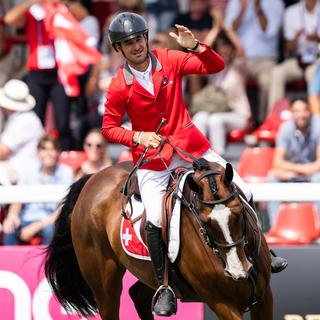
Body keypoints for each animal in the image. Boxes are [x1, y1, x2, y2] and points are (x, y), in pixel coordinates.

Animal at [44, 158, 272, 320]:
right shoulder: (222, 303)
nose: (238, 270)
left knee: (138, 295)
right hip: (104, 283)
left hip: (150, 274)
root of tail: (92, 180)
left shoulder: (264, 297)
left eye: (239, 212)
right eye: (205, 222)